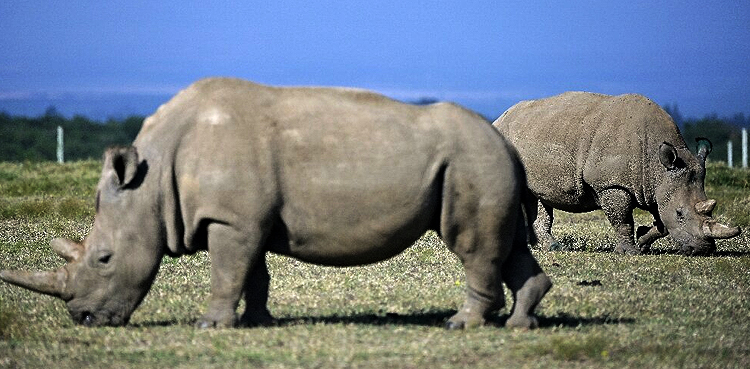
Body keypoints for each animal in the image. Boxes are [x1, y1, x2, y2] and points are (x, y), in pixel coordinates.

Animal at [0, 77, 552, 328]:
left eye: (104, 258)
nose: (83, 319)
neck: (150, 184)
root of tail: (507, 144)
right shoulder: (245, 220)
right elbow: (253, 273)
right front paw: (257, 322)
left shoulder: (230, 219)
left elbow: (228, 272)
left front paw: (210, 326)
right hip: (484, 162)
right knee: (505, 246)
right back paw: (520, 323)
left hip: (472, 161)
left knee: (472, 245)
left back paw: (461, 325)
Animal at [496, 90, 744, 254]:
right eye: (680, 214)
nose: (703, 249)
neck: (658, 165)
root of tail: (499, 119)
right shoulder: (612, 184)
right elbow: (622, 219)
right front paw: (629, 252)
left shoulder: (656, 185)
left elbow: (661, 222)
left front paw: (643, 241)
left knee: (537, 198)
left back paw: (552, 247)